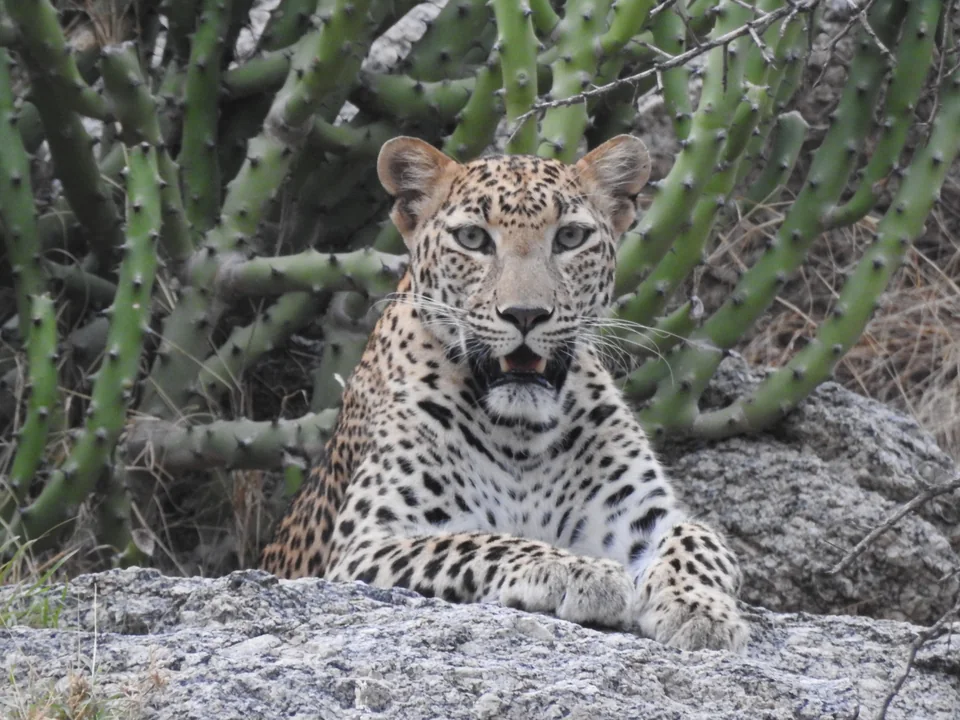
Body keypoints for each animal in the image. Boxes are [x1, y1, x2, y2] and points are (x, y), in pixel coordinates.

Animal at [259, 134, 749, 652]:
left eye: (570, 238)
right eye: (473, 239)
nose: (525, 314)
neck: (521, 437)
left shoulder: (642, 515)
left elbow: (698, 538)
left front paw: (701, 611)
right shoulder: (367, 545)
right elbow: (475, 541)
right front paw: (577, 571)